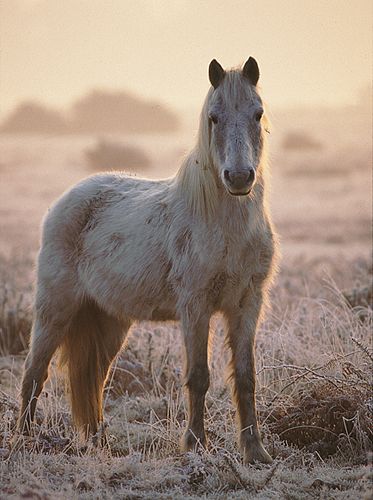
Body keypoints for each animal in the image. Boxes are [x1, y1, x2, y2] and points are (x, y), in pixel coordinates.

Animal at [18, 58, 278, 464]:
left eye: (258, 113)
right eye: (214, 117)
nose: (238, 177)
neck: (224, 225)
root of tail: (64, 201)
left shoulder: (247, 305)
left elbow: (246, 377)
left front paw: (255, 452)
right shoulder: (195, 306)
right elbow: (198, 376)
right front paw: (195, 445)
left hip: (109, 320)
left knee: (93, 378)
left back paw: (99, 445)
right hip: (55, 308)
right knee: (34, 373)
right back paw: (22, 442)